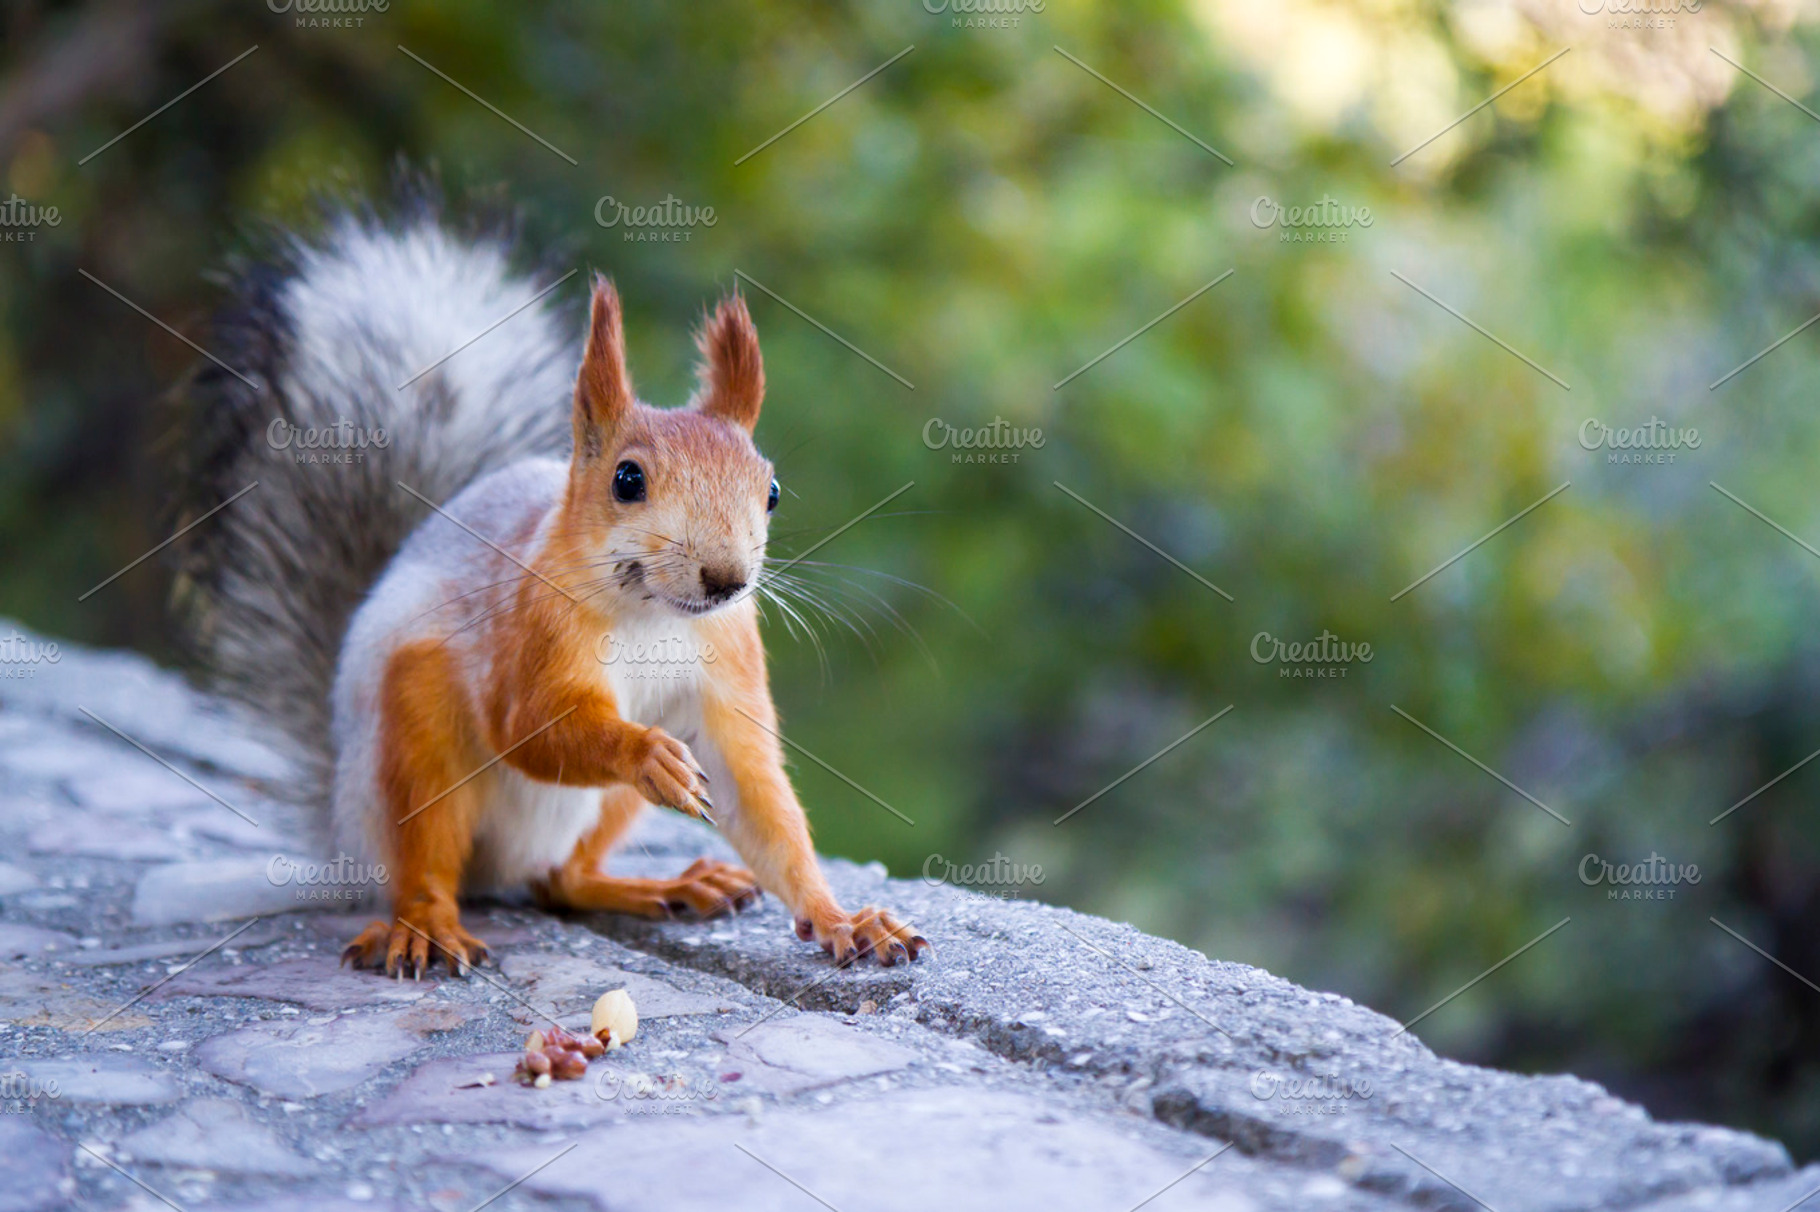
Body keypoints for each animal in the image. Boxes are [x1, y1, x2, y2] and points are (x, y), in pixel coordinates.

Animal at [173, 199, 927, 976]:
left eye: (771, 491)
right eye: (628, 479)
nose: (726, 579)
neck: (654, 616)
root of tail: (347, 831)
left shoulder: (729, 664)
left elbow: (757, 799)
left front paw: (843, 918)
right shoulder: (530, 631)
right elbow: (527, 727)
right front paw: (646, 753)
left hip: (604, 811)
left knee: (561, 880)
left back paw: (661, 886)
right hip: (413, 735)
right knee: (429, 858)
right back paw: (425, 924)